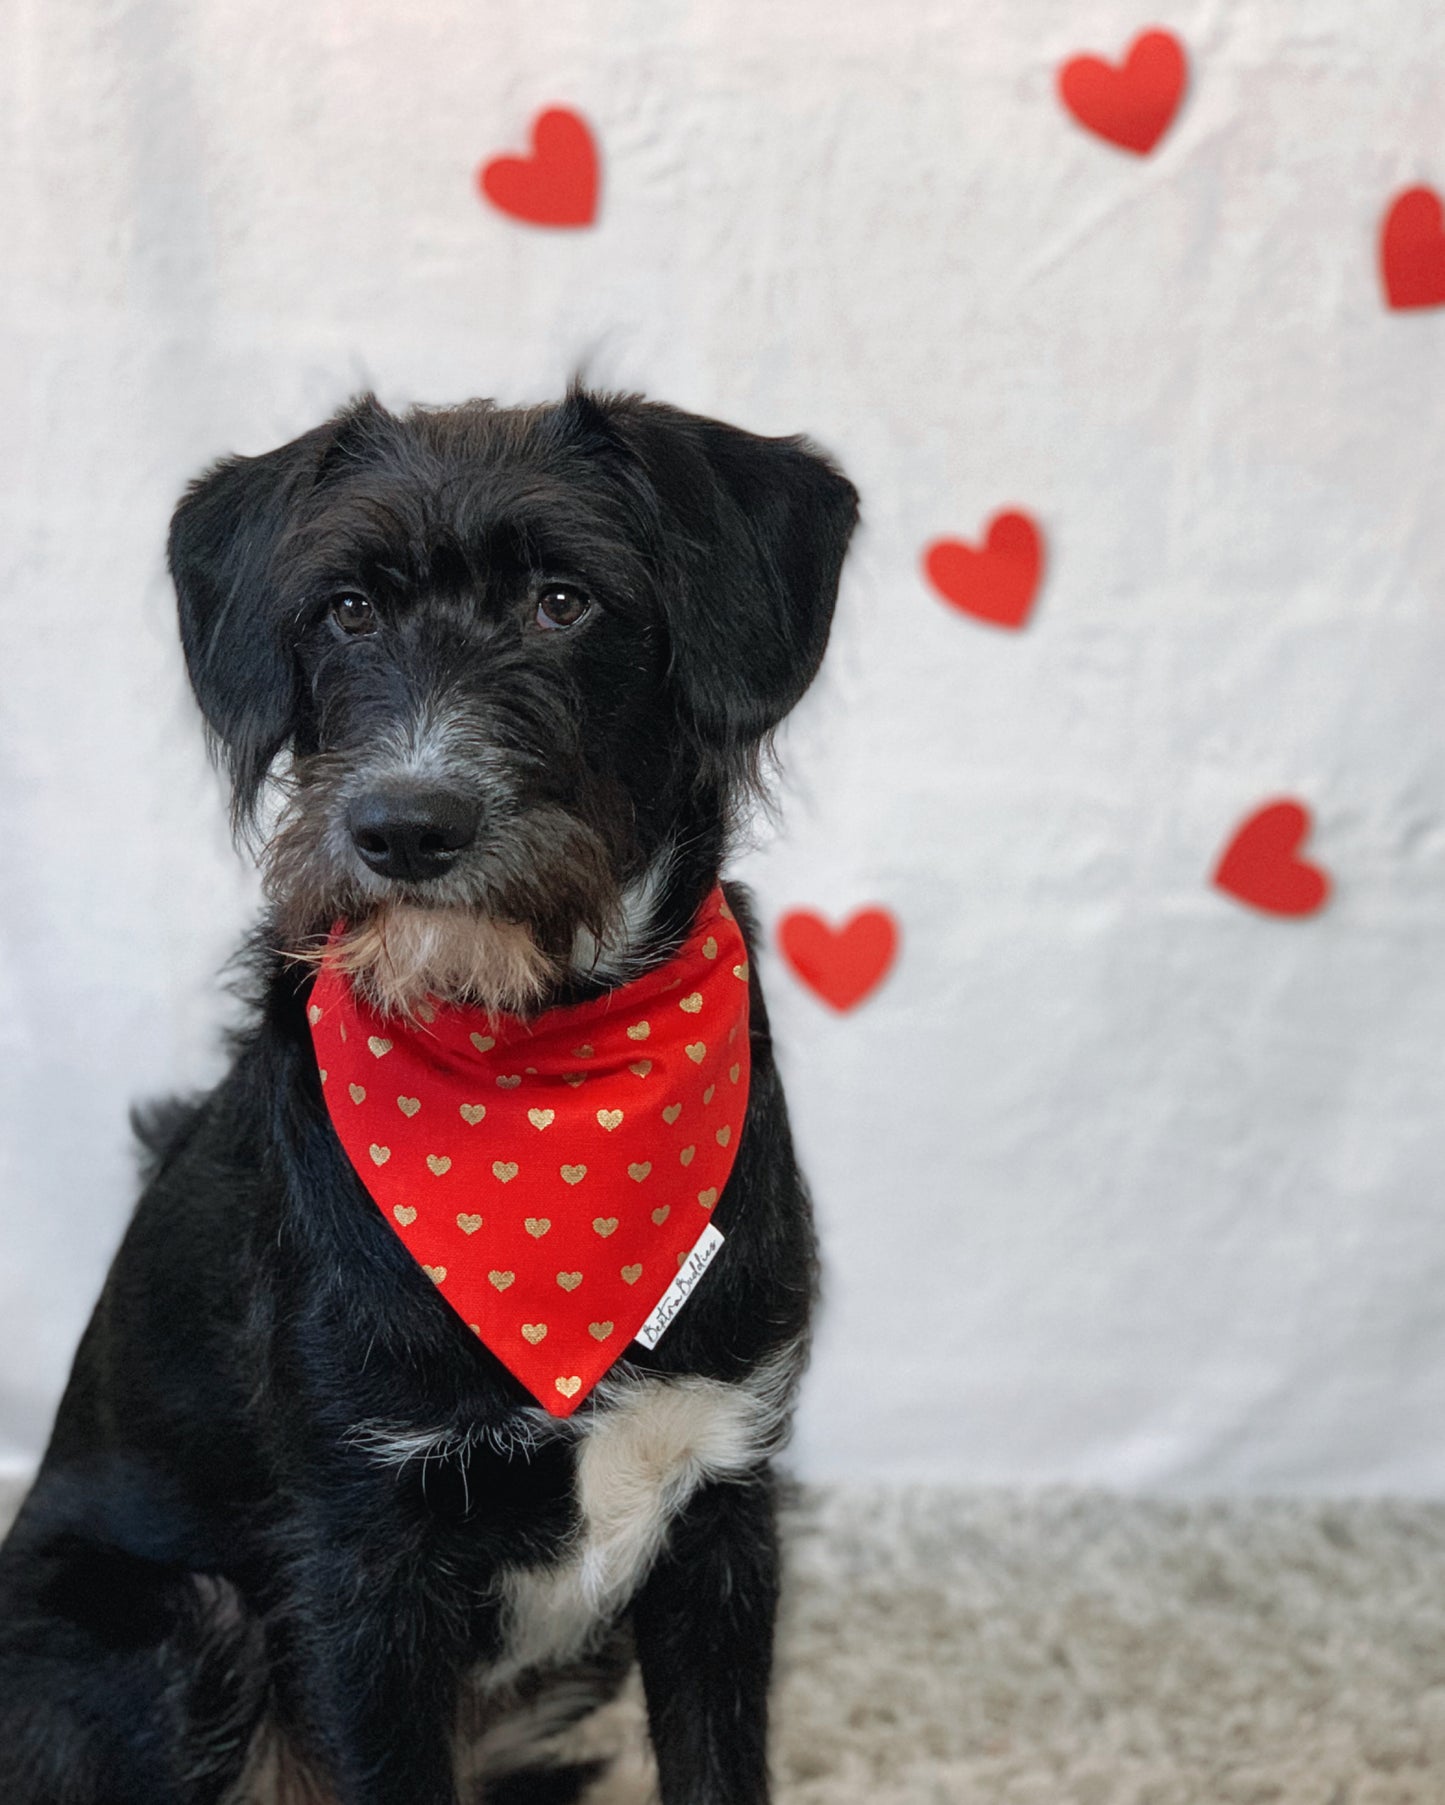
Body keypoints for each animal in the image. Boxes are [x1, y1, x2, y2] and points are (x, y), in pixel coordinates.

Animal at [0, 384, 858, 1805]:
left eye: (564, 601)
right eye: (344, 608)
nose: (404, 824)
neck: (535, 1066)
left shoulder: (725, 1502)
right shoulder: (364, 1563)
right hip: (185, 1626)